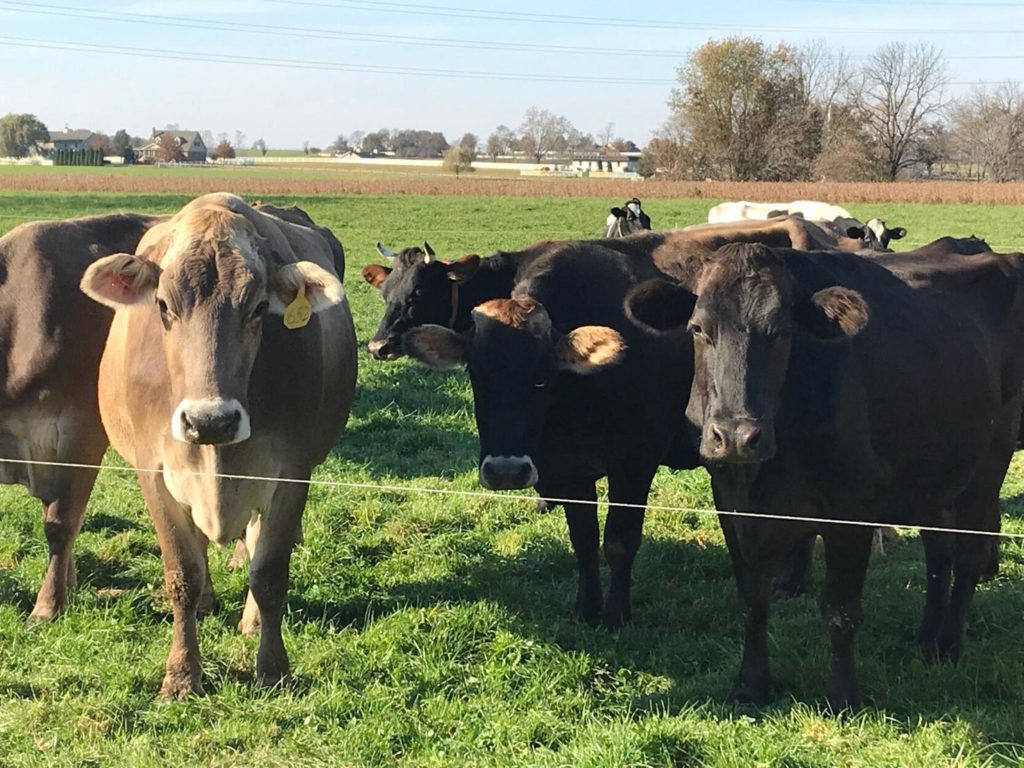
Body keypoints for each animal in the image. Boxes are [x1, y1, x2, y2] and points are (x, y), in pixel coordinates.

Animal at [78, 195, 356, 700]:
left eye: (258, 307)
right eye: (163, 305)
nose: (211, 419)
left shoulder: (290, 474)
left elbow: (269, 574)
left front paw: (272, 667)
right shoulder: (154, 473)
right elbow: (182, 575)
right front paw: (182, 674)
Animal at [622, 241, 1024, 708]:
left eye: (782, 331)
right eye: (699, 329)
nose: (737, 437)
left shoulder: (851, 508)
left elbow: (840, 609)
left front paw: (843, 695)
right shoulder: (731, 500)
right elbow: (753, 597)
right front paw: (751, 685)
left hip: (988, 465)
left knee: (968, 556)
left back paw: (949, 644)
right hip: (934, 476)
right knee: (938, 553)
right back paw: (926, 640)